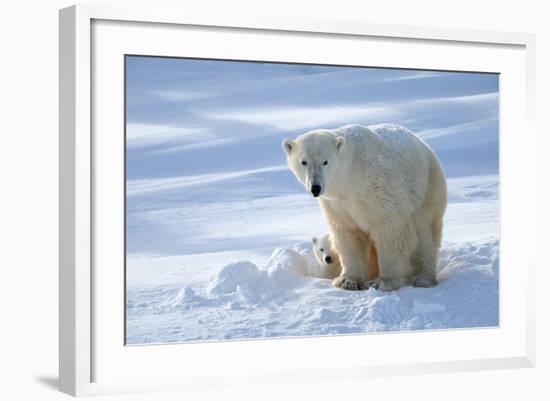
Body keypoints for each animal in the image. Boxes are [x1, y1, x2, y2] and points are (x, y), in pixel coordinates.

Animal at [284, 123, 448, 290]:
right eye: (303, 162)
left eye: (325, 161)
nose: (315, 188)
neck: (348, 176)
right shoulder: (336, 204)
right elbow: (348, 235)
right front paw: (347, 280)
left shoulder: (375, 186)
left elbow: (390, 228)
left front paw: (383, 281)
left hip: (427, 188)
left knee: (424, 233)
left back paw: (423, 278)